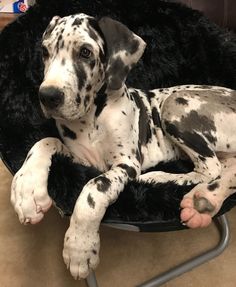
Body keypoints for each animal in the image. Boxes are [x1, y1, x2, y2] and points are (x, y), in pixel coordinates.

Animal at [10, 12, 236, 280]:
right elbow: (44, 141)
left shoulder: (125, 165)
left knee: (210, 168)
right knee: (226, 169)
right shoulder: (80, 158)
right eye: (45, 51)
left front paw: (79, 246)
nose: (48, 96)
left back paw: (158, 178)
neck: (91, 119)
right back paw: (205, 199)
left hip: (174, 103)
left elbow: (92, 189)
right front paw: (26, 189)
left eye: (85, 52)